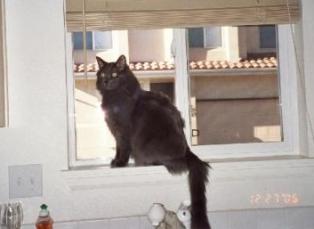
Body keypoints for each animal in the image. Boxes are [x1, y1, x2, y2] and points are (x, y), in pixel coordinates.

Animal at [95, 55, 211, 229]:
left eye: (114, 74)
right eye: (103, 74)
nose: (106, 81)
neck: (115, 97)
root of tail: (188, 152)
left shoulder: (123, 131)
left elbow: (123, 148)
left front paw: (120, 163)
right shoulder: (116, 131)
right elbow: (118, 148)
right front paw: (115, 161)